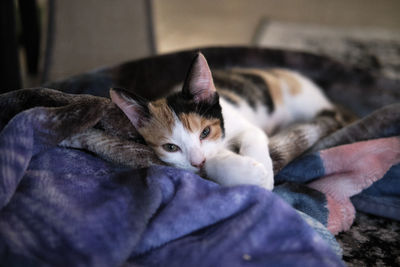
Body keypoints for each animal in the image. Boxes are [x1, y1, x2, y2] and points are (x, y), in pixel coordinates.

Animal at [108, 52, 334, 191]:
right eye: (171, 147)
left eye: (205, 132)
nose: (197, 162)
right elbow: (212, 162)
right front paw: (249, 173)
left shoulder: (245, 126)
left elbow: (253, 136)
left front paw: (263, 175)